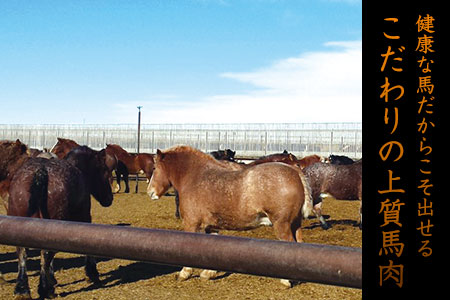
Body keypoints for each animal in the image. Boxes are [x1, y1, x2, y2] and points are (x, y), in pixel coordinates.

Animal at [7, 146, 114, 300]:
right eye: (104, 170)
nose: (109, 199)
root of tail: (40, 171)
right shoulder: (84, 217)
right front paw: (92, 274)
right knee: (45, 253)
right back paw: (45, 289)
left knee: (23, 252)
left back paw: (22, 290)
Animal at [148, 146, 312, 288]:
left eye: (155, 168)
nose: (150, 192)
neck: (195, 177)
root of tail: (295, 173)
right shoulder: (211, 226)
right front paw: (208, 273)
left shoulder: (191, 223)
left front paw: (184, 273)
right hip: (295, 223)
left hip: (282, 224)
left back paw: (286, 281)